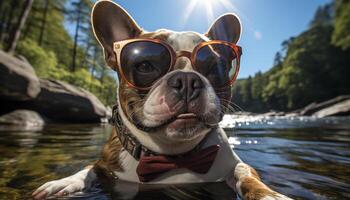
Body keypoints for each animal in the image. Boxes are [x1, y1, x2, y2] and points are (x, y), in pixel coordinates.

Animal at [31, 0, 292, 199]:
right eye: (146, 65)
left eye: (215, 67)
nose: (187, 80)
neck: (174, 157)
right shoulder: (105, 165)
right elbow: (88, 169)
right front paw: (64, 182)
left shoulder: (236, 165)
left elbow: (246, 175)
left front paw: (270, 195)